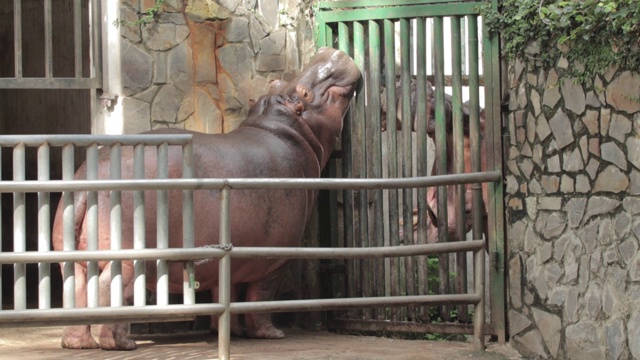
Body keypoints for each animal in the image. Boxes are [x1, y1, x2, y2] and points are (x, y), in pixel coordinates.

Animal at [50, 46, 360, 350]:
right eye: (306, 94)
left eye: (275, 83)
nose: (330, 51)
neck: (286, 127)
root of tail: (89, 177)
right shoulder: (274, 259)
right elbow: (260, 298)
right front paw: (271, 334)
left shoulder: (231, 257)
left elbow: (227, 293)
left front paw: (231, 331)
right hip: (128, 256)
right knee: (111, 288)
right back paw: (122, 343)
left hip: (69, 255)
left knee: (75, 288)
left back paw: (77, 343)